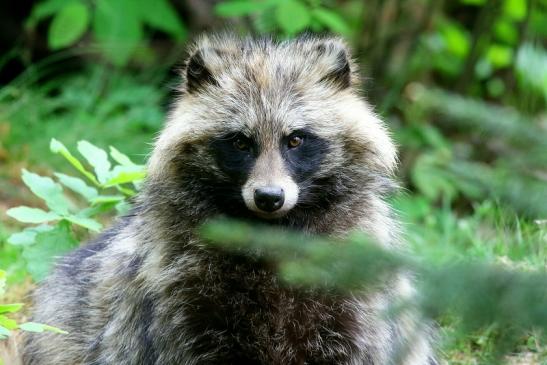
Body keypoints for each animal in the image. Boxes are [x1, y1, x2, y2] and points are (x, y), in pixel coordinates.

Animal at [24, 34, 436, 364]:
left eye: (296, 139)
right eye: (240, 142)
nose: (269, 197)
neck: (272, 232)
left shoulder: (354, 292)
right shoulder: (178, 297)